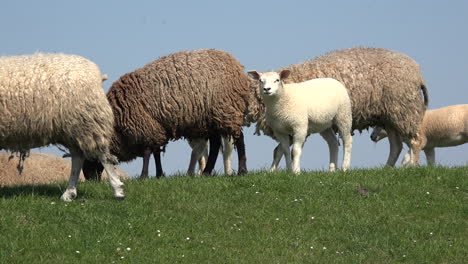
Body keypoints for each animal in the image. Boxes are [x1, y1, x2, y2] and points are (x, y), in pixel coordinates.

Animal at [0, 53, 125, 201]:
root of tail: (96, 73)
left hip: (88, 122)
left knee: (102, 156)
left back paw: (118, 190)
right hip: (72, 129)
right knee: (78, 158)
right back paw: (69, 193)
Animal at [82, 49, 252, 177]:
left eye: (90, 158)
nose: (90, 179)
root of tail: (237, 66)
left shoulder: (146, 127)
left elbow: (147, 153)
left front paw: (144, 175)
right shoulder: (156, 128)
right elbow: (156, 152)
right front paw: (159, 174)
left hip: (227, 111)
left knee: (239, 139)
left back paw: (242, 170)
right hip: (211, 118)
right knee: (216, 144)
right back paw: (207, 172)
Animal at [247, 47, 430, 167]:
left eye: (276, 80)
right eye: (260, 80)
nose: (266, 89)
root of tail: (417, 71)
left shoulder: (299, 126)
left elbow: (284, 150)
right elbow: (280, 150)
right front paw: (274, 171)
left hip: (405, 110)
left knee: (416, 141)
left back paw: (411, 167)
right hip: (390, 116)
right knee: (396, 146)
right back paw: (387, 169)